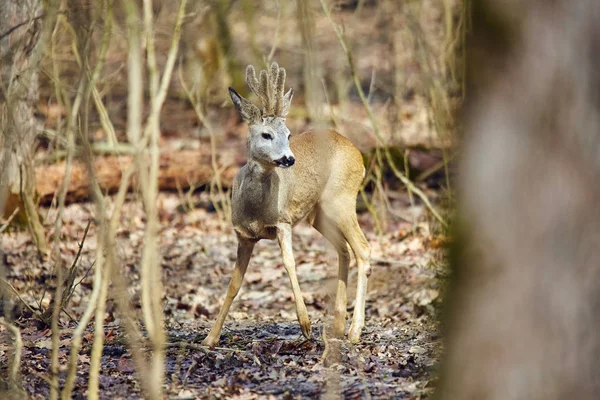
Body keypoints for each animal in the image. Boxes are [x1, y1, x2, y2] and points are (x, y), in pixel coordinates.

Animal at [203, 62, 370, 346]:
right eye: (266, 134)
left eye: (289, 135)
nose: (289, 159)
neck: (255, 211)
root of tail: (358, 154)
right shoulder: (243, 235)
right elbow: (234, 283)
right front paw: (210, 338)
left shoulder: (283, 222)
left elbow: (290, 263)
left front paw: (305, 325)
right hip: (319, 213)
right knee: (344, 250)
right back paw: (338, 325)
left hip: (342, 198)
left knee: (363, 249)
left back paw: (355, 331)